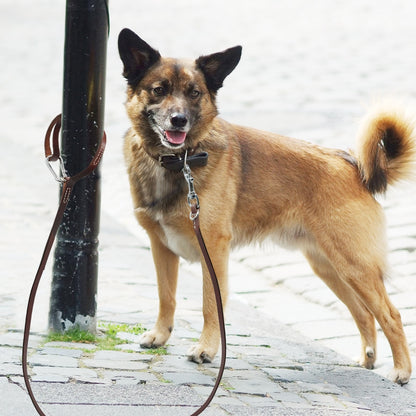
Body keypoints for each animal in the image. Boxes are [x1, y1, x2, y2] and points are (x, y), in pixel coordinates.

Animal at [118, 28, 416, 384]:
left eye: (194, 93)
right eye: (159, 90)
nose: (178, 120)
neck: (181, 160)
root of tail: (352, 165)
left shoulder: (213, 251)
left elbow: (209, 304)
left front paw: (206, 349)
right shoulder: (160, 247)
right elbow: (167, 297)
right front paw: (160, 335)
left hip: (355, 267)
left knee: (391, 315)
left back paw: (401, 370)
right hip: (330, 268)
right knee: (363, 314)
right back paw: (367, 359)